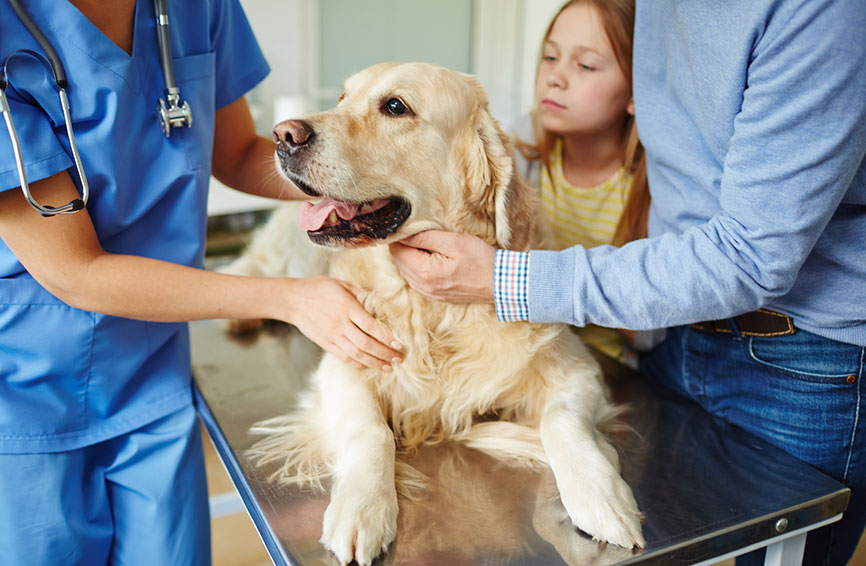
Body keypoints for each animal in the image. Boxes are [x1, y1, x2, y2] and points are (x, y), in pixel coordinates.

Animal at [233, 63, 644, 566]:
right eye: (343, 97)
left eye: (395, 106)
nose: (283, 135)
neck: (433, 311)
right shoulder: (343, 361)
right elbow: (372, 430)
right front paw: (363, 508)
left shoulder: (576, 367)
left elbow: (561, 420)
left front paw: (601, 498)